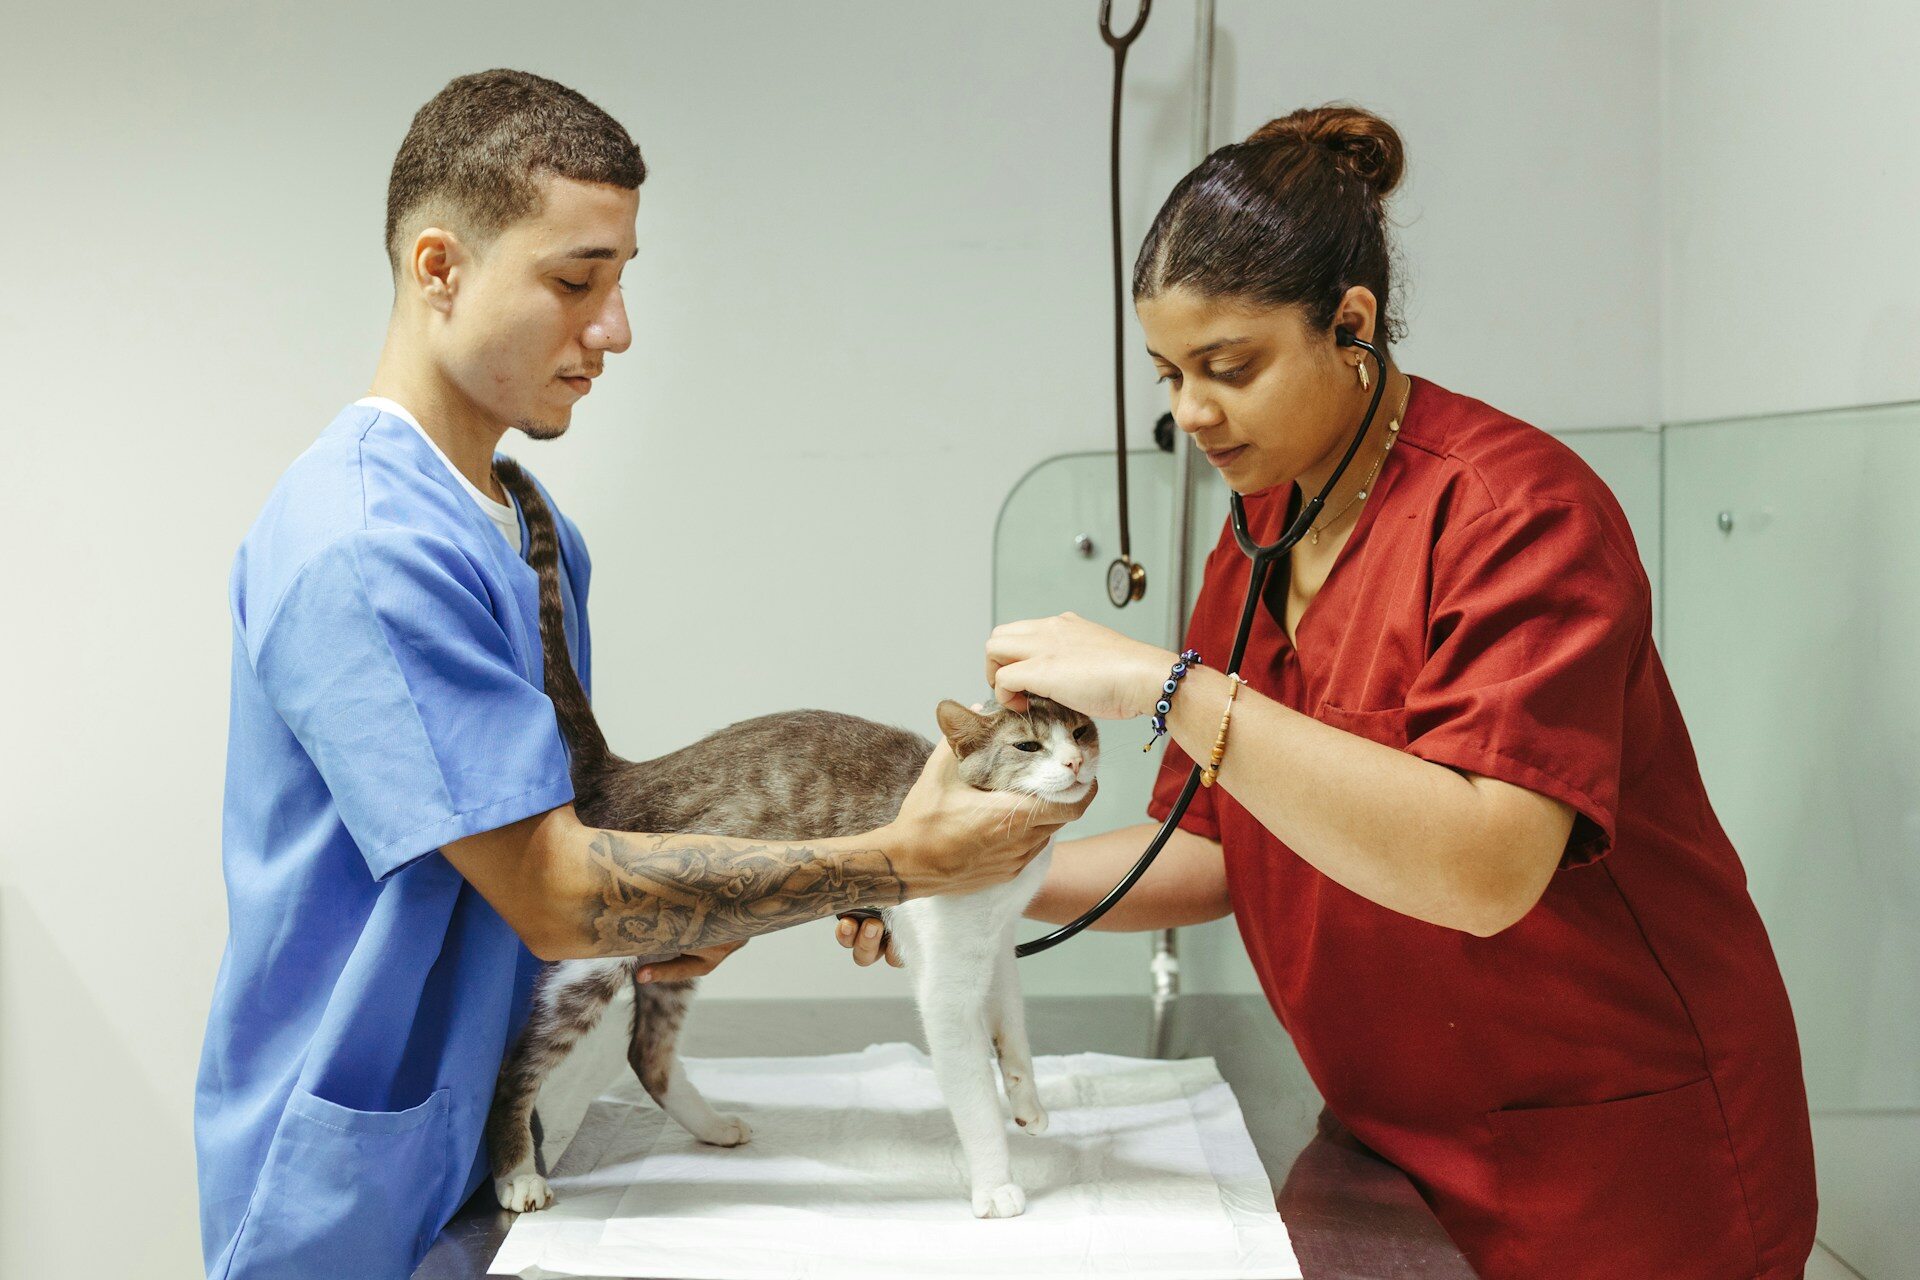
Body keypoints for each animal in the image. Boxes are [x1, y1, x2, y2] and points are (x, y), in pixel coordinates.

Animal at [487, 458, 1105, 1220]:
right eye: (1027, 745)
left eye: (1079, 730)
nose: (1074, 763)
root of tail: (624, 770)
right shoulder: (945, 971)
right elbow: (969, 1086)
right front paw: (995, 1183)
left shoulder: (997, 941)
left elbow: (1012, 1023)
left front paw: (1028, 1100)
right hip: (596, 950)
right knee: (519, 1064)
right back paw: (518, 1173)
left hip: (670, 947)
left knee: (647, 1053)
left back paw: (709, 1125)